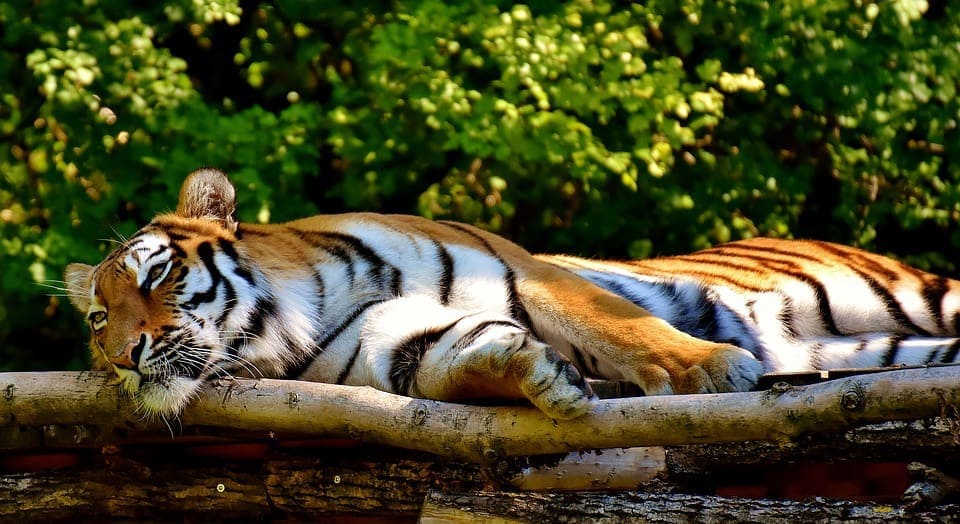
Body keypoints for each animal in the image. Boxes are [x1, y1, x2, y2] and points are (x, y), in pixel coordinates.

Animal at [65, 168, 960, 420]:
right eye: (98, 319)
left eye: (157, 276)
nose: (124, 356)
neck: (292, 322)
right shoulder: (383, 348)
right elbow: (446, 357)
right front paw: (533, 376)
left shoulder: (531, 272)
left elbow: (622, 324)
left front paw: (711, 367)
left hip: (919, 300)